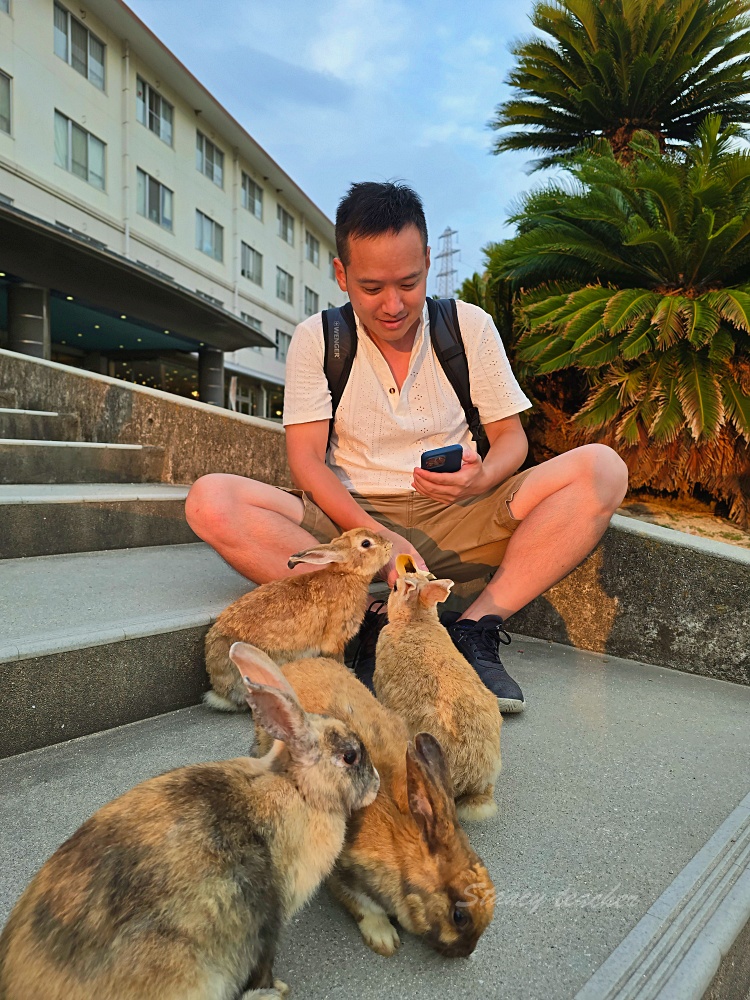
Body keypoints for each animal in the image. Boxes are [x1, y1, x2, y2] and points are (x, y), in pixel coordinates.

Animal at [0, 648, 378, 1000]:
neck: (297, 788)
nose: (376, 784)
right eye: (350, 756)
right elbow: (263, 965)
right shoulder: (266, 926)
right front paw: (279, 987)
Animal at [206, 528, 394, 716]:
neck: (347, 574)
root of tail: (221, 690)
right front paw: (349, 674)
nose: (390, 545)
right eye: (366, 543)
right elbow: (337, 659)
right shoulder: (334, 640)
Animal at [242, 644, 500, 956]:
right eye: (459, 915)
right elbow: (363, 907)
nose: (467, 952)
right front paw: (384, 940)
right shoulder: (343, 874)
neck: (402, 852)